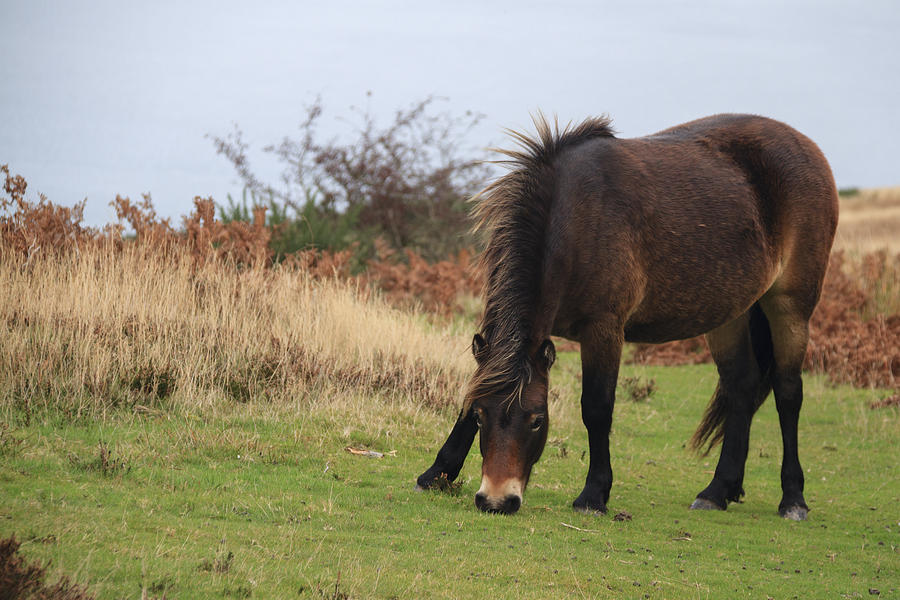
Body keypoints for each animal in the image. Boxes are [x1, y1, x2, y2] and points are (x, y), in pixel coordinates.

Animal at [418, 113, 840, 520]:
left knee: (788, 393)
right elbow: (474, 391)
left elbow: (597, 407)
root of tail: (809, 150)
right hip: (730, 314)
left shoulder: (604, 329)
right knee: (741, 386)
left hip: (790, 306)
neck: (574, 218)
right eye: (480, 417)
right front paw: (437, 473)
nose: (496, 500)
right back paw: (717, 491)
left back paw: (793, 500)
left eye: (537, 419)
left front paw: (593, 495)